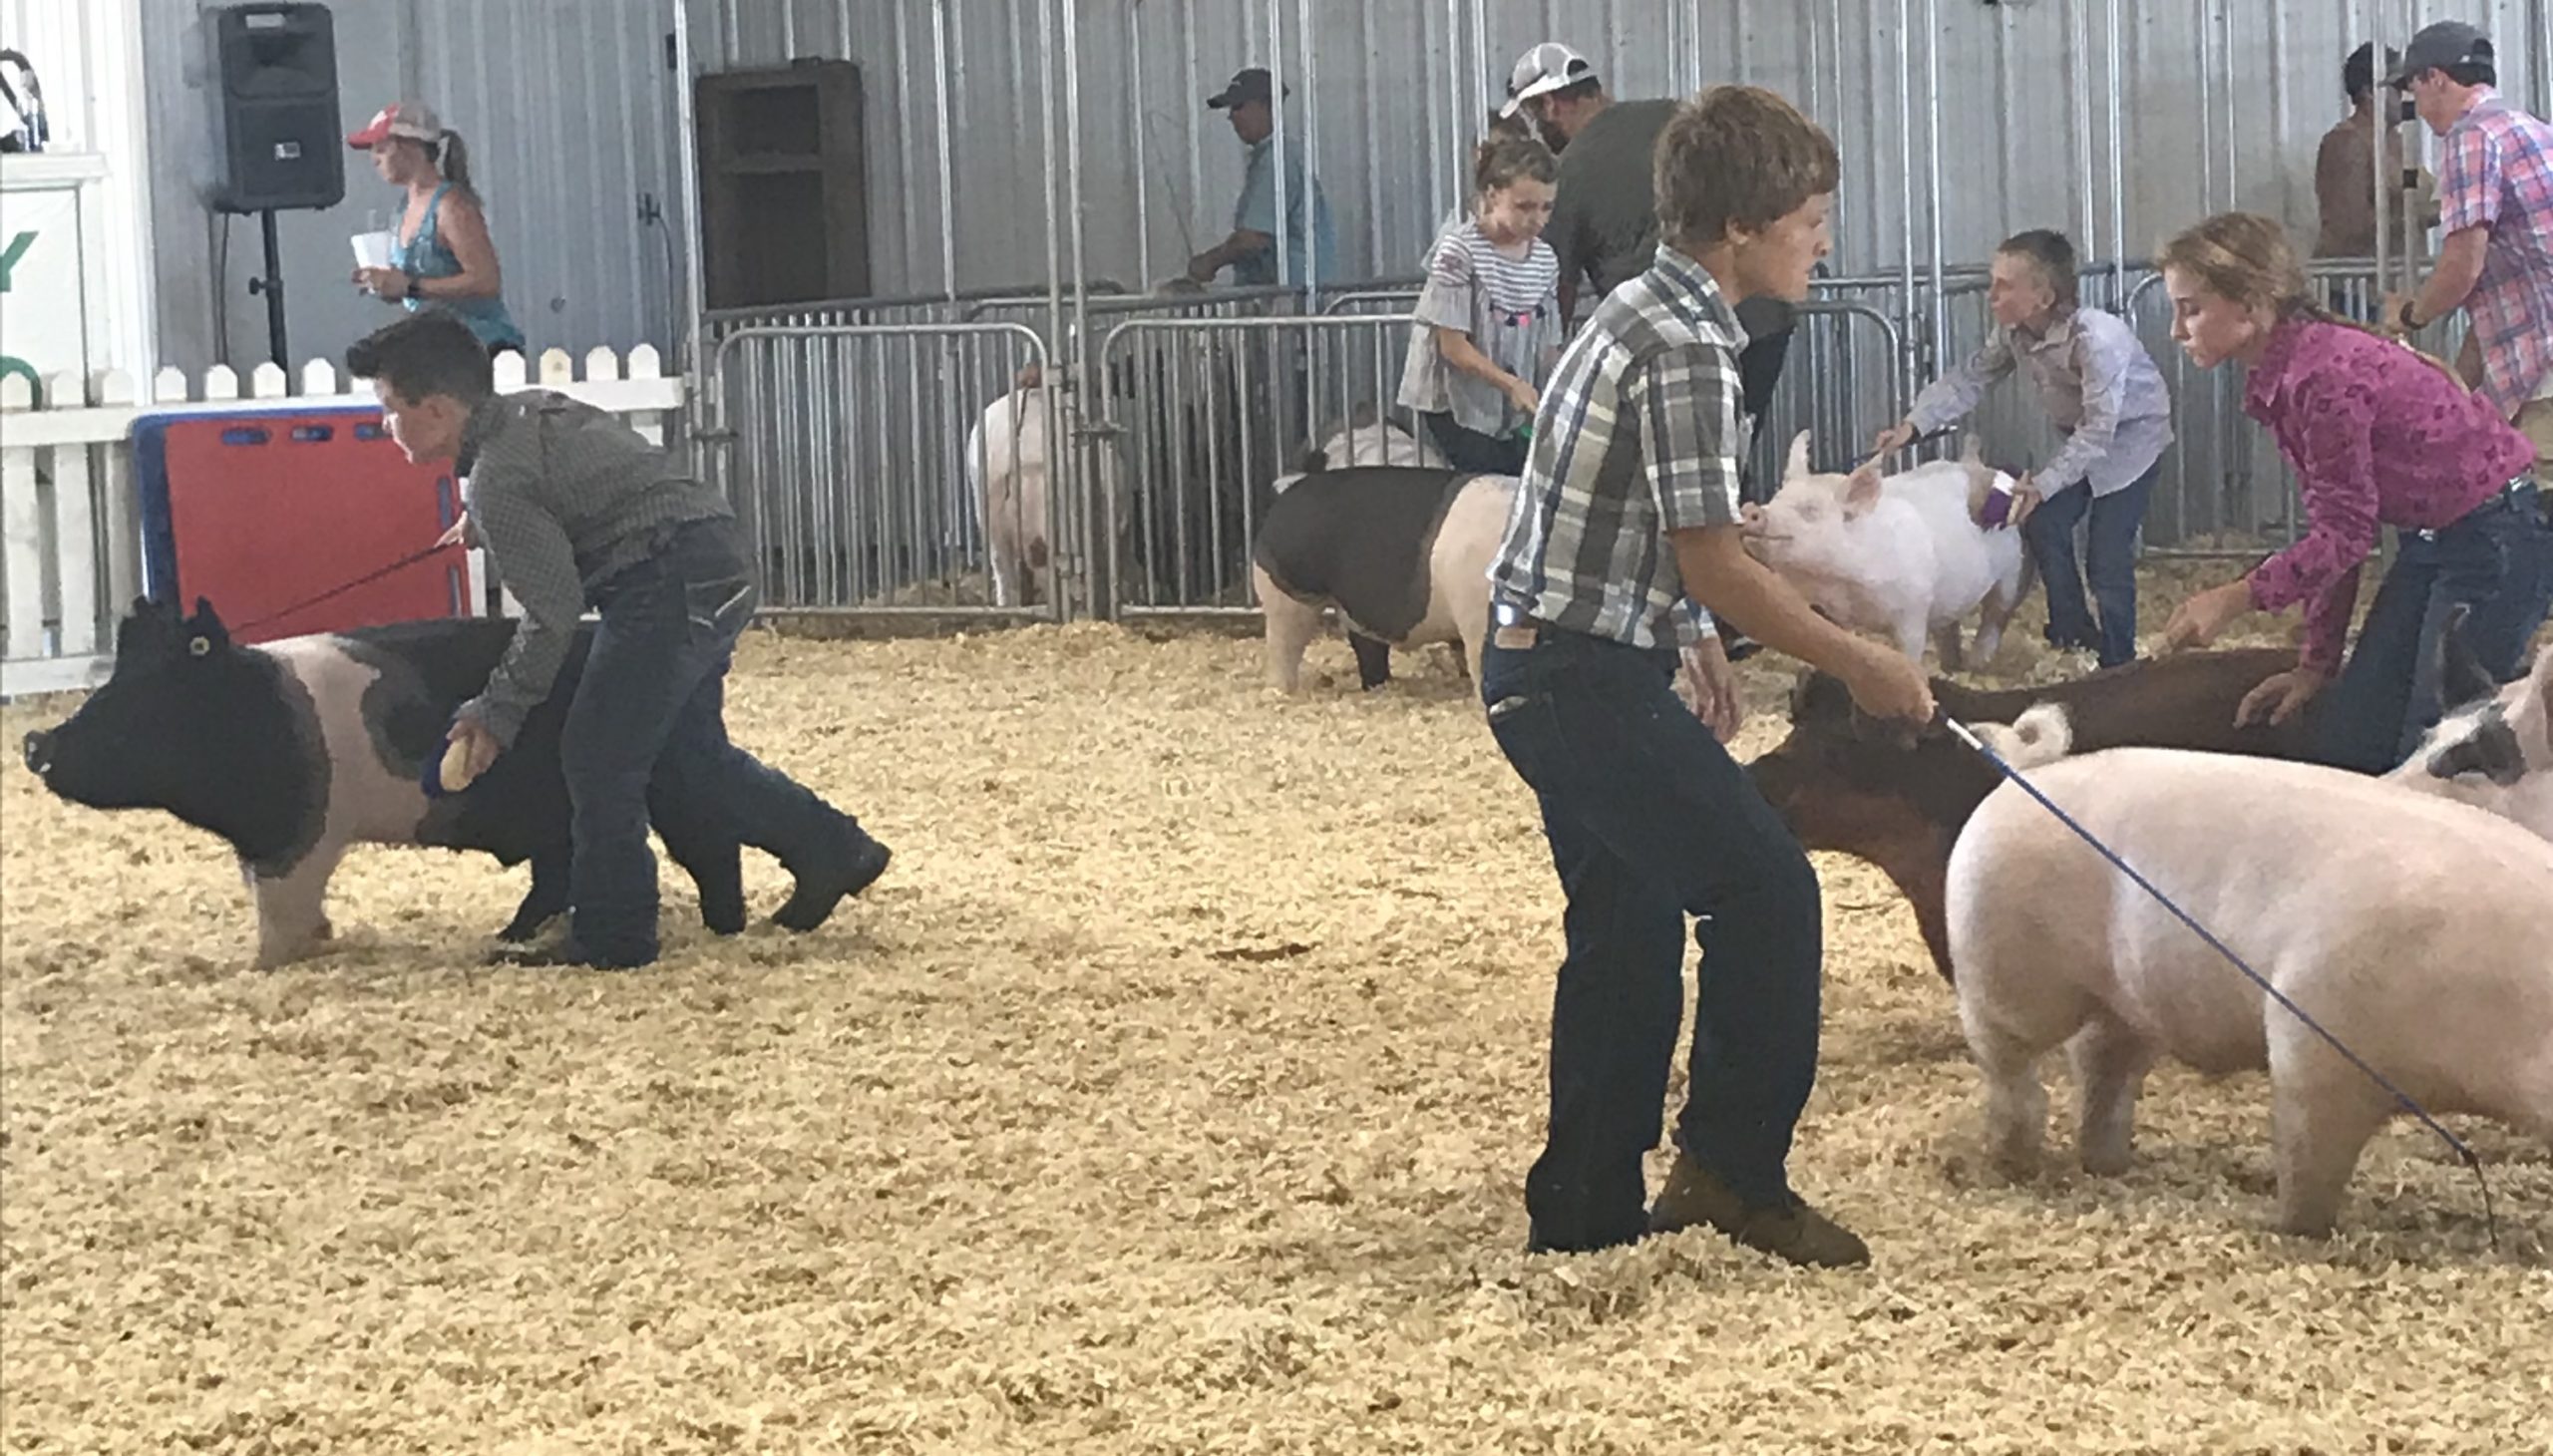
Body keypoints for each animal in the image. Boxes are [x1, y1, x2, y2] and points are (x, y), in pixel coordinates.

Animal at [22, 594, 755, 970]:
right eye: (106, 687)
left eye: (136, 702)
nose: (36, 744)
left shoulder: (302, 834)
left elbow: (280, 910)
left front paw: (264, 964)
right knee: (559, 871)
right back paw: (508, 936)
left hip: (662, 785)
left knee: (708, 845)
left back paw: (726, 926)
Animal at [1241, 465, 1501, 689]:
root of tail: (1287, 490)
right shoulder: (1476, 615)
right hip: (1287, 591)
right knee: (1284, 643)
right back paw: (1282, 690)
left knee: (1366, 646)